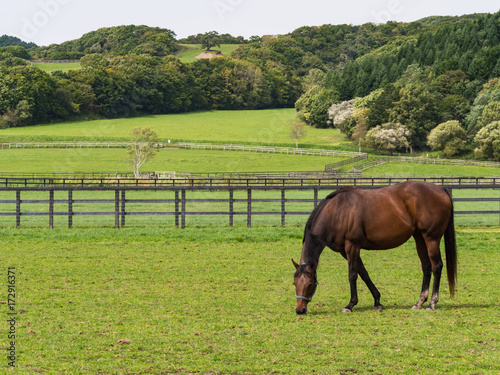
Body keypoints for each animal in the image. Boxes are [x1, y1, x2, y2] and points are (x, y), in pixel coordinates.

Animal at [292, 181, 458, 314]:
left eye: (310, 283)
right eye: (295, 283)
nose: (300, 310)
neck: (337, 211)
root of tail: (440, 189)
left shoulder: (352, 246)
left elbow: (353, 275)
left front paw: (350, 305)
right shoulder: (345, 251)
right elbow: (363, 273)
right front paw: (377, 302)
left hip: (431, 239)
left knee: (437, 266)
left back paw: (431, 303)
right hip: (419, 238)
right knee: (426, 267)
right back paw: (419, 302)